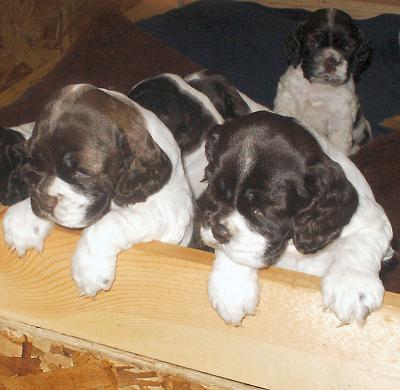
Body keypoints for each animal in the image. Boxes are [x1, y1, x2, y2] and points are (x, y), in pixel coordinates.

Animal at [3, 83, 194, 296]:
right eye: (35, 164)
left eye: (82, 171)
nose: (44, 202)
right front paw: (21, 220)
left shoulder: (168, 213)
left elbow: (111, 222)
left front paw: (89, 269)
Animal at [198, 109, 392, 326]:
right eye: (213, 190)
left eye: (264, 209)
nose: (219, 232)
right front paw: (231, 289)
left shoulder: (373, 220)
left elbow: (357, 245)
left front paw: (352, 287)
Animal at [274, 8, 370, 155]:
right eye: (314, 42)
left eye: (348, 46)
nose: (331, 62)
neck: (319, 86)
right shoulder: (287, 101)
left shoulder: (341, 119)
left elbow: (339, 147)